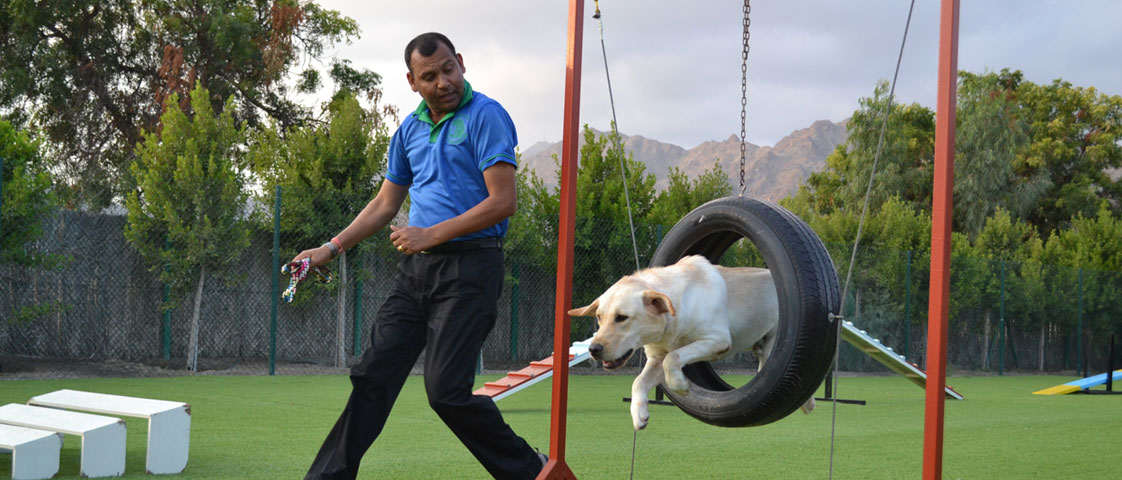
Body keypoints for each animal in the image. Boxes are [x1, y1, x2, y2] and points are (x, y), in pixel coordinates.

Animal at [574, 254, 812, 430]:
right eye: (599, 317)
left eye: (622, 317)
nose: (593, 349)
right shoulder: (657, 357)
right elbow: (638, 382)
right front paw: (639, 414)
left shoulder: (716, 340)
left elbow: (673, 357)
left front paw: (680, 386)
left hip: (774, 341)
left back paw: (808, 402)